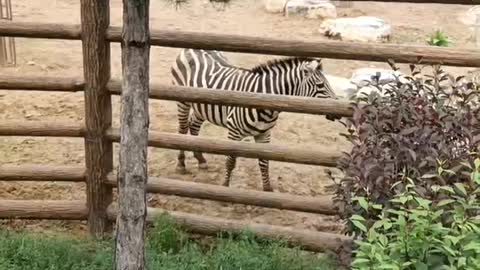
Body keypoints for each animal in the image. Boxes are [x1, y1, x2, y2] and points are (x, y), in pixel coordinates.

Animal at [171, 48, 340, 192]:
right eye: (320, 85)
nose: (338, 113)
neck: (264, 101)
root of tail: (192, 49)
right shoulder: (234, 132)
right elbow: (230, 161)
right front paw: (225, 186)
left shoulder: (264, 134)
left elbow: (264, 161)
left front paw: (267, 189)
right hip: (183, 101)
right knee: (182, 129)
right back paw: (181, 164)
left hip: (201, 105)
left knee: (194, 126)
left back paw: (200, 160)